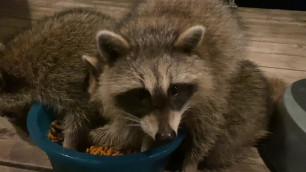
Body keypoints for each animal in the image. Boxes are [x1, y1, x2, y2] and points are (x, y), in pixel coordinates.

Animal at [83, 0, 282, 171]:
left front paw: (191, 161)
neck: (153, 35)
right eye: (140, 94)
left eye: (175, 90)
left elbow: (207, 128)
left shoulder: (214, 84)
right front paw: (146, 141)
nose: (166, 136)